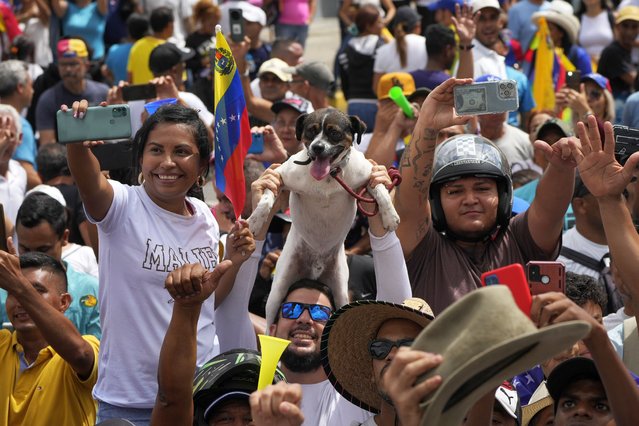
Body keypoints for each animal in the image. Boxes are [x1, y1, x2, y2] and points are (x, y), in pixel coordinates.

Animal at [249, 108, 400, 328]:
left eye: (334, 133)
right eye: (311, 131)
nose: (317, 147)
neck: (329, 177)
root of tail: (315, 270)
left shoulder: (369, 175)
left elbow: (381, 191)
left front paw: (389, 215)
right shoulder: (279, 175)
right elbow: (267, 198)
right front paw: (256, 220)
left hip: (340, 292)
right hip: (277, 292)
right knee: (271, 322)